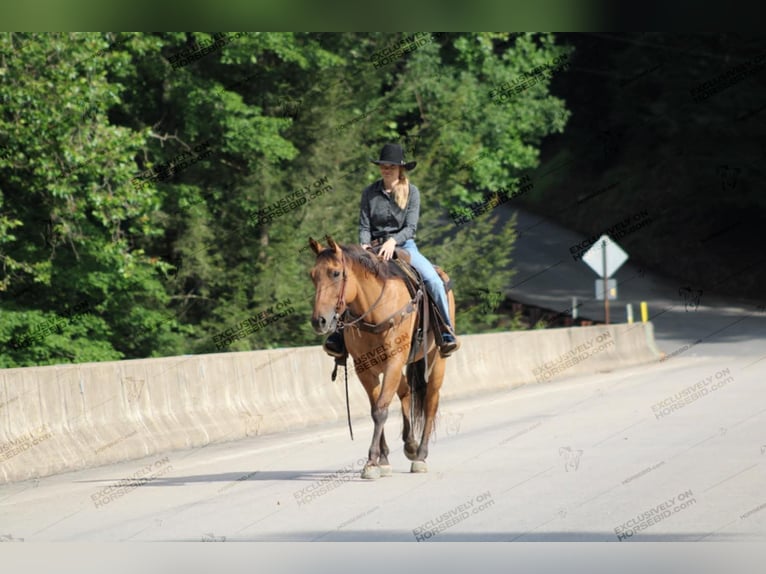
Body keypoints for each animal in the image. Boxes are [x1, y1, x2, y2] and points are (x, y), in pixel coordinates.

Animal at [310, 236, 460, 480]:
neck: (374, 310)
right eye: (312, 275)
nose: (319, 321)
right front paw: (383, 460)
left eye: (335, 273)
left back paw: (420, 455)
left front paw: (372, 461)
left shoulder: (393, 362)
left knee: (430, 402)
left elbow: (381, 410)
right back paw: (410, 445)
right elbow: (375, 409)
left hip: (436, 360)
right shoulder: (364, 368)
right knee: (406, 391)